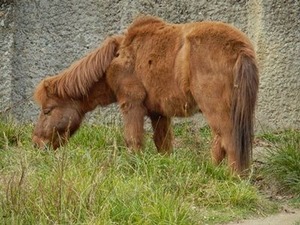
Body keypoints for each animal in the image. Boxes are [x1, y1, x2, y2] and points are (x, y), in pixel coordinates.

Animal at [32, 15, 258, 172]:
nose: (36, 144)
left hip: (215, 109)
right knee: (221, 141)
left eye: (47, 110)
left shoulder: (131, 105)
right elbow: (163, 144)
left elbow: (133, 140)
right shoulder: (159, 113)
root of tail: (240, 48)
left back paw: (232, 177)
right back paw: (212, 170)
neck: (116, 58)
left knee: (229, 141)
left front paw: (134, 167)